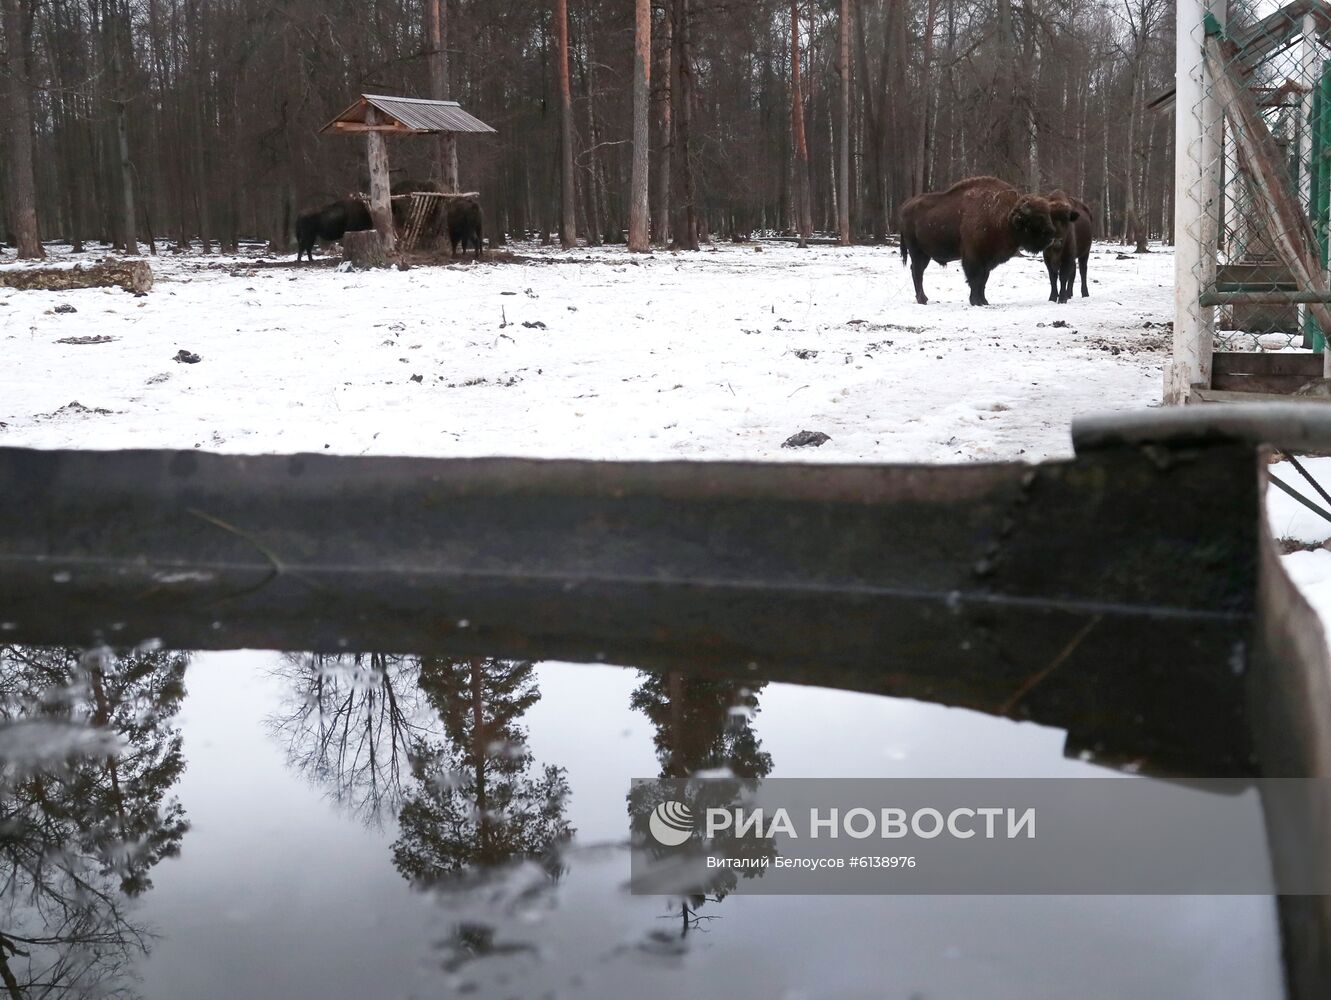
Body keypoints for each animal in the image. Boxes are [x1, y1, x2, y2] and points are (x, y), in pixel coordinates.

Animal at [899, 175, 1064, 307]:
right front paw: (976, 301)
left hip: (925, 254)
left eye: (1047, 214)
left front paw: (984, 301)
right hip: (917, 251)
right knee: (917, 272)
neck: (1004, 218)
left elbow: (983, 280)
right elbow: (975, 279)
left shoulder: (988, 260)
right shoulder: (973, 257)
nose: (1052, 234)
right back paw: (922, 299)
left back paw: (924, 299)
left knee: (917, 271)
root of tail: (905, 207)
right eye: (1037, 218)